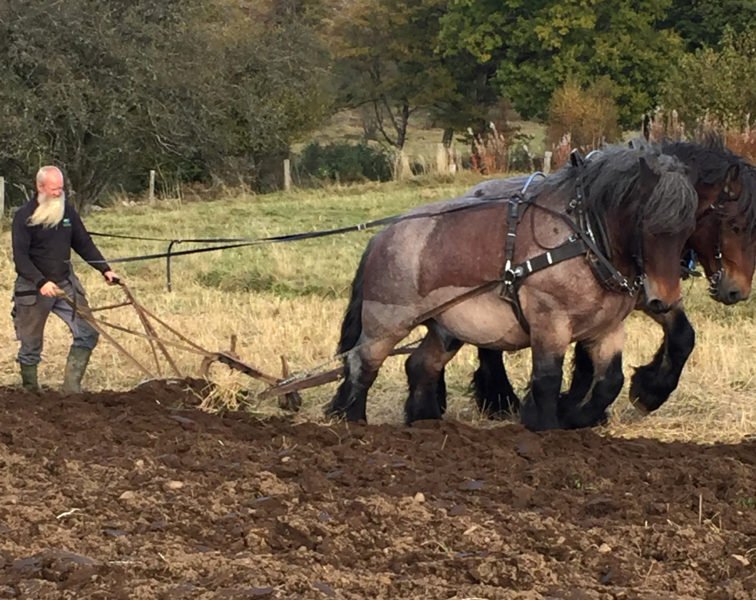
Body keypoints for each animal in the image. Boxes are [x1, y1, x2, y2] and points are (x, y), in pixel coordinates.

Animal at [324, 144, 696, 432]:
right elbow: (547, 379)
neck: (584, 239)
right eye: (647, 224)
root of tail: (380, 238)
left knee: (420, 365)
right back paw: (352, 420)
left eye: (686, 228)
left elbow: (610, 382)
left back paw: (424, 421)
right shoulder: (550, 321)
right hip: (386, 324)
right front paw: (545, 424)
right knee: (361, 364)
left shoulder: (606, 329)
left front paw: (576, 417)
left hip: (446, 328)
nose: (663, 300)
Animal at [466, 139, 756, 428]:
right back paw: (500, 400)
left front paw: (647, 391)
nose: (737, 291)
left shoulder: (650, 297)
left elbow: (683, 335)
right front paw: (574, 407)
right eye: (734, 225)